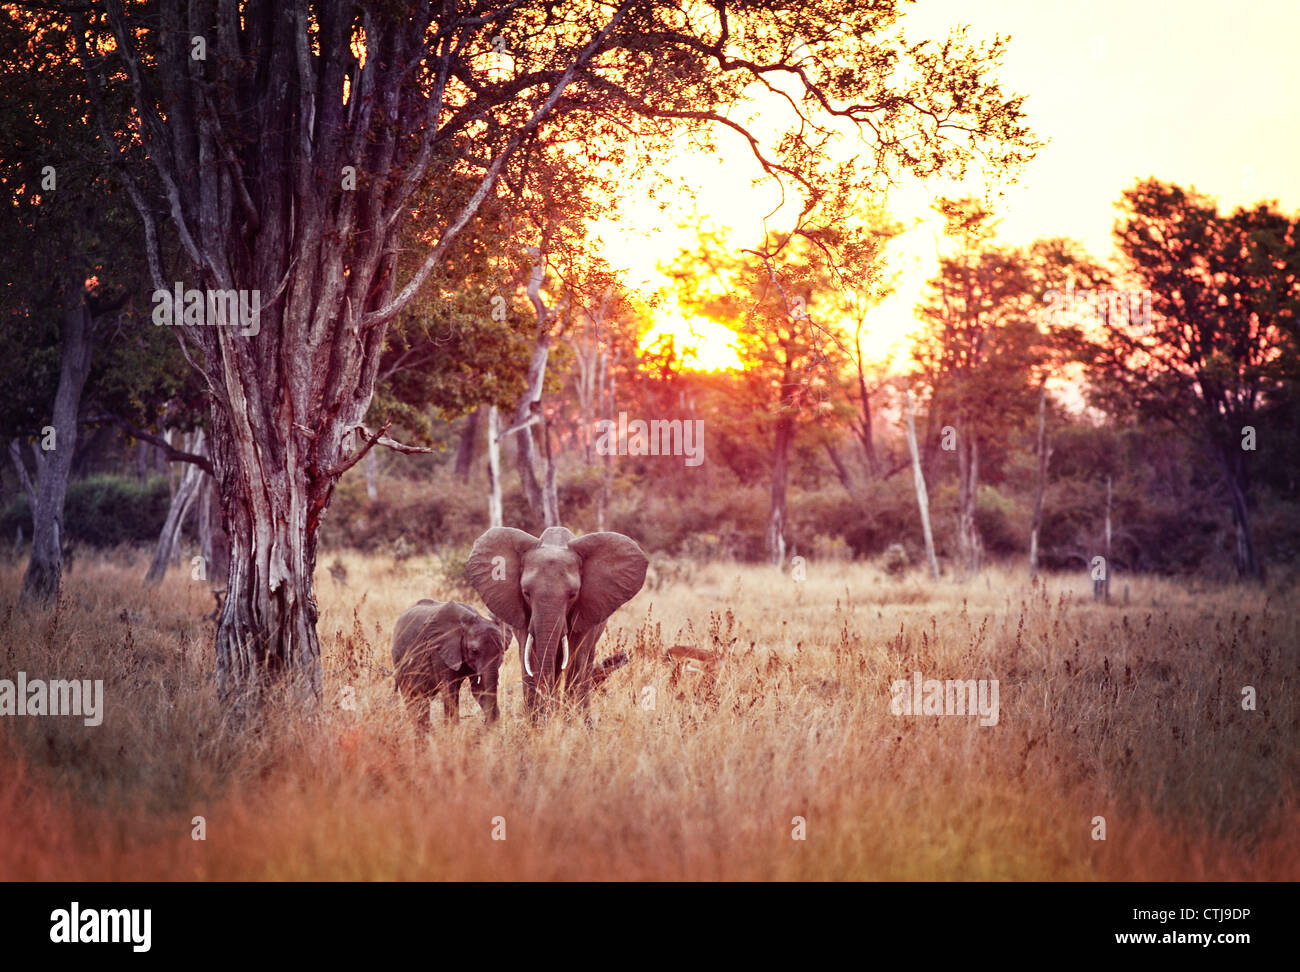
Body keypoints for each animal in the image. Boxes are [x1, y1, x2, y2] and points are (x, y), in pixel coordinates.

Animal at [390, 595, 506, 727]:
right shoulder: (439, 649)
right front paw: (452, 728)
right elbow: (449, 689)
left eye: (502, 651)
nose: (484, 723)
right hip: (399, 660)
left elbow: (479, 689)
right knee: (413, 696)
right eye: (474, 651)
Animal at [467, 527, 650, 717]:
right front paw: (538, 720)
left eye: (573, 594)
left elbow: (577, 659)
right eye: (526, 593)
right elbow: (528, 657)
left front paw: (570, 721)